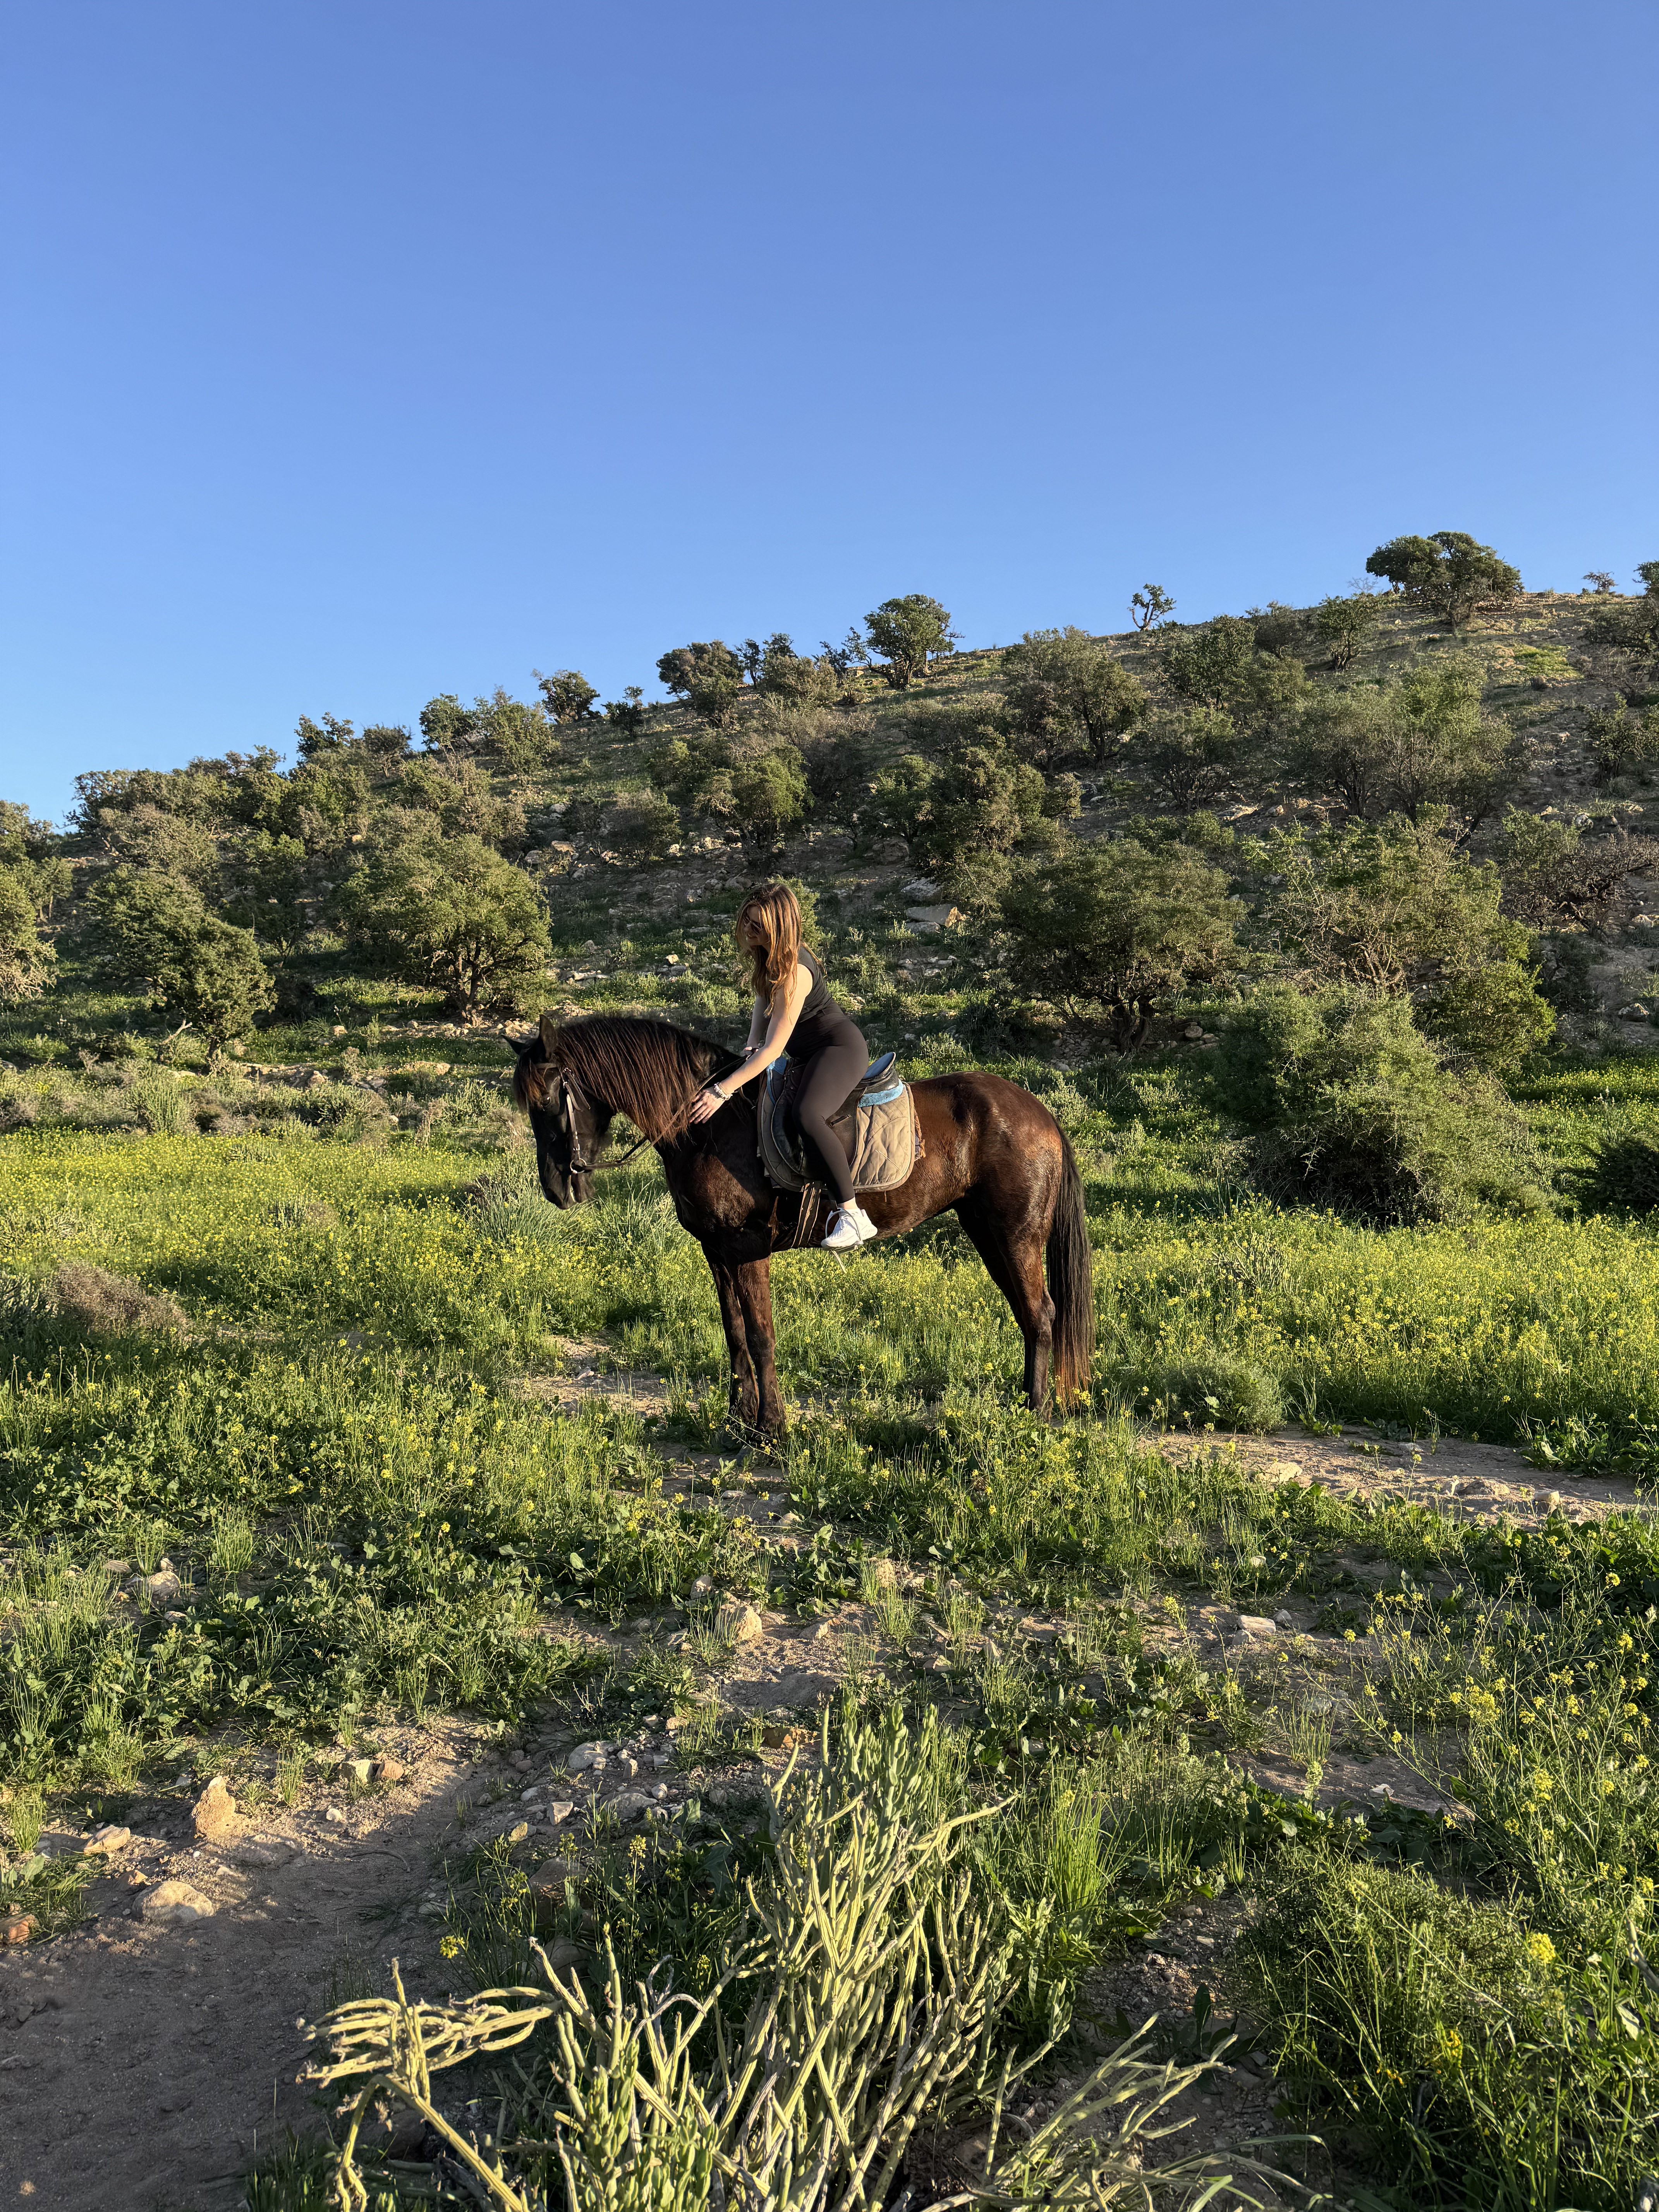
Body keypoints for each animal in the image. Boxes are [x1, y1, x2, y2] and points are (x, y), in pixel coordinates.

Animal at [511, 1012, 1093, 1438]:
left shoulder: (747, 1248)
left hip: (1015, 1236)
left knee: (1041, 1314)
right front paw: (738, 1418)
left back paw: (1036, 1415)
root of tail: (1041, 1114)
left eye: (550, 1101)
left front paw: (770, 1428)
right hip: (988, 1233)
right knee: (1029, 1315)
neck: (710, 1126)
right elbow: (734, 1333)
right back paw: (1026, 1404)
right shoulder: (717, 1251)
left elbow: (761, 1335)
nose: (557, 1190)